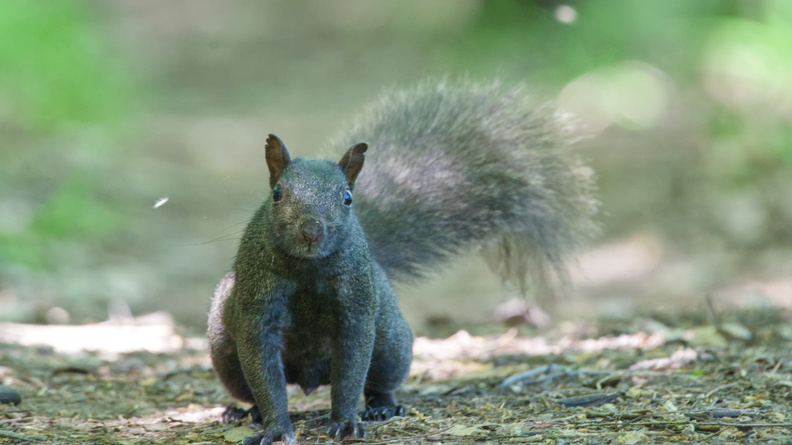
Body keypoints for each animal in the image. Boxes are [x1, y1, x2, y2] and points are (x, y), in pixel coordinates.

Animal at [207, 81, 598, 444]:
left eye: (347, 198)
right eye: (277, 194)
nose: (311, 230)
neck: (308, 268)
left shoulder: (357, 305)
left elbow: (351, 369)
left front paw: (345, 420)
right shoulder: (257, 303)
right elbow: (264, 371)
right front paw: (275, 426)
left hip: (392, 342)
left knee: (380, 380)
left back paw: (382, 407)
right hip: (223, 350)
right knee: (249, 387)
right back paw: (245, 411)